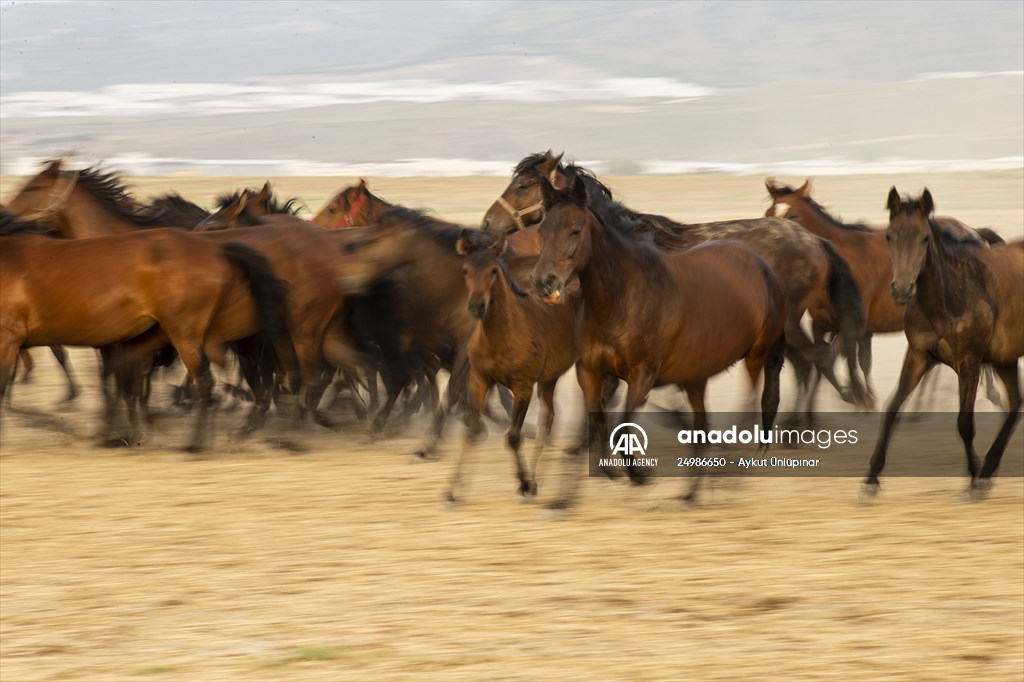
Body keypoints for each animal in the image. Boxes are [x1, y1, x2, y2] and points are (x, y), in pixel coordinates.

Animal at [0, 217, 292, 451]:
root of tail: (217, 250)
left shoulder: (9, 338)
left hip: (183, 333)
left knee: (203, 380)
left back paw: (195, 443)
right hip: (157, 336)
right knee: (132, 377)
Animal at [445, 229, 581, 503]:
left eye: (493, 270)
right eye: (465, 270)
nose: (476, 306)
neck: (502, 336)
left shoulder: (522, 386)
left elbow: (513, 436)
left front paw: (525, 483)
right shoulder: (480, 379)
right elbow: (472, 427)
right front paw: (453, 491)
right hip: (549, 379)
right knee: (548, 418)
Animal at [483, 151, 868, 417]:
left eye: (522, 185)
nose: (487, 224)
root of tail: (814, 240)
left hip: (786, 321)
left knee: (816, 358)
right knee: (808, 362)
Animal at [531, 174, 787, 510]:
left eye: (575, 229)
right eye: (542, 230)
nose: (543, 282)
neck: (624, 296)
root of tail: (762, 265)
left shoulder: (642, 375)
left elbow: (622, 427)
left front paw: (639, 475)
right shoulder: (590, 371)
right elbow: (596, 420)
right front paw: (566, 498)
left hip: (755, 357)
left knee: (747, 408)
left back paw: (730, 479)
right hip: (696, 376)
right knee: (701, 427)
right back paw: (691, 494)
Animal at [862, 189, 1023, 497]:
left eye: (925, 237)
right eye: (889, 236)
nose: (901, 290)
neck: (949, 298)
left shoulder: (969, 363)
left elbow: (965, 423)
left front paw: (973, 477)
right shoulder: (919, 355)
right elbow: (892, 408)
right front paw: (871, 478)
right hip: (1004, 358)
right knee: (1015, 405)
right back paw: (990, 469)